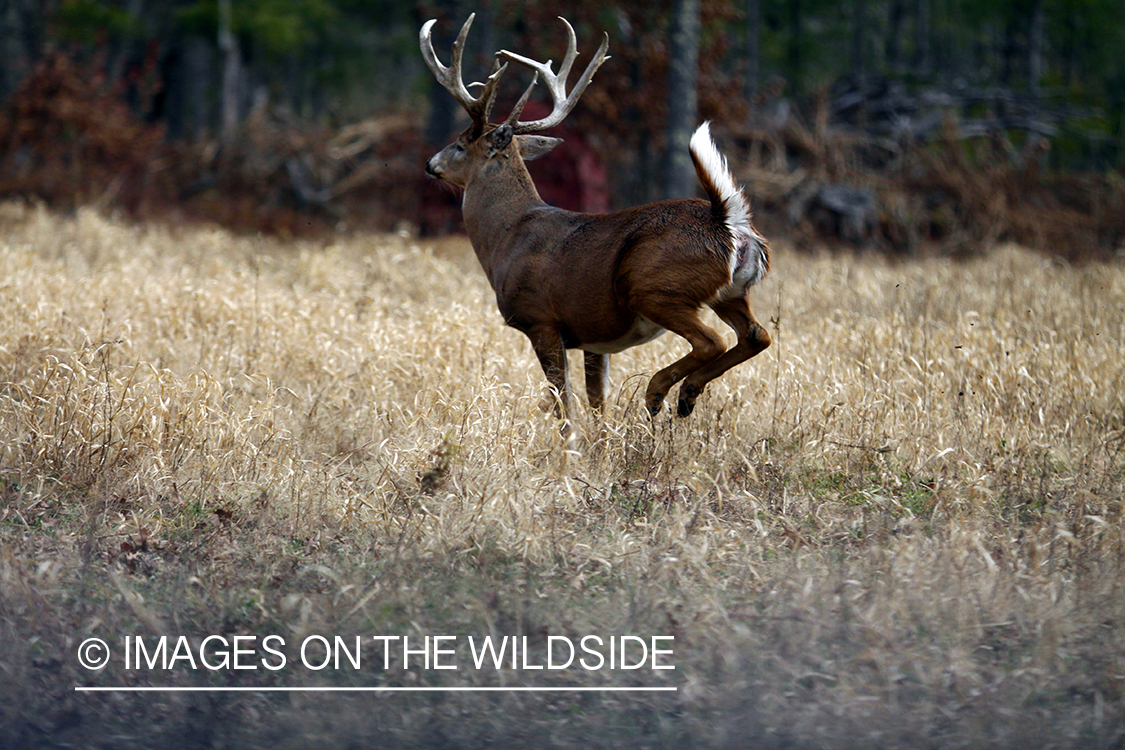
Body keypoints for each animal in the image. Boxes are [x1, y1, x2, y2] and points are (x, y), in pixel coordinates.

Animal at [423, 14, 774, 431]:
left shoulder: (541, 319)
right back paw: (687, 394)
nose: (430, 164)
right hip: (730, 293)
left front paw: (568, 443)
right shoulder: (594, 337)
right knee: (757, 335)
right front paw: (600, 441)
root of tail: (727, 220)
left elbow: (563, 402)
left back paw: (658, 391)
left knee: (712, 340)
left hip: (655, 286)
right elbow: (596, 401)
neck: (507, 237)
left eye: (461, 144)